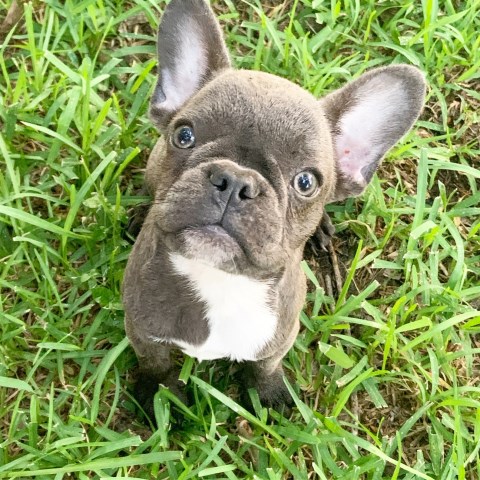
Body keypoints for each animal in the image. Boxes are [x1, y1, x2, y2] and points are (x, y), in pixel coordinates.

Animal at [123, 0, 424, 420]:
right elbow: (157, 363)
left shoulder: (279, 337)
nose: (234, 180)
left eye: (306, 182)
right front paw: (159, 396)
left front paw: (270, 395)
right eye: (184, 135)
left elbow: (265, 366)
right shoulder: (142, 330)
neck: (221, 280)